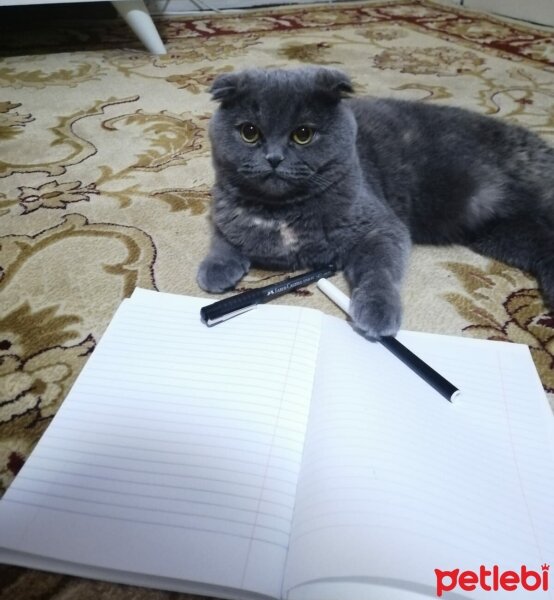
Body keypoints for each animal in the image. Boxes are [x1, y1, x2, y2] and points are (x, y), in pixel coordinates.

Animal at [197, 67, 552, 338]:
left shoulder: (381, 226)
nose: (273, 158)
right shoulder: (223, 210)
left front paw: (377, 312)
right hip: (501, 234)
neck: (283, 214)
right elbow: (222, 238)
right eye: (249, 132)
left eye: (303, 134)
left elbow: (378, 270)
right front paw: (215, 269)